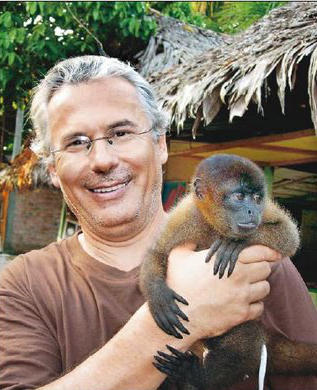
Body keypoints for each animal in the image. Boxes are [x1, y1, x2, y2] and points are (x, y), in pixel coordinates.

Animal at [140, 154, 316, 388]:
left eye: (257, 199)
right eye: (239, 196)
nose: (252, 211)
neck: (214, 225)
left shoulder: (266, 211)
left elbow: (289, 236)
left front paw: (236, 243)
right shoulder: (185, 217)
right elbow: (156, 253)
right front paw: (158, 298)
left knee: (244, 344)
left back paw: (194, 375)